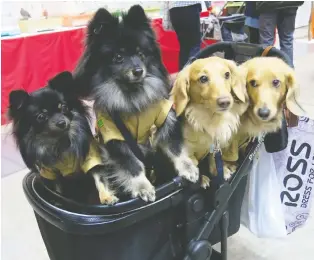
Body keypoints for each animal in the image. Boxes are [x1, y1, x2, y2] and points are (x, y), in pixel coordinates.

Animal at [8, 71, 119, 205]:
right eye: (41, 117)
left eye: (64, 107)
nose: (61, 122)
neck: (60, 141)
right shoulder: (50, 172)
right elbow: (57, 190)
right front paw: (58, 200)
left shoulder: (91, 158)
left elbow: (99, 177)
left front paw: (107, 197)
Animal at [74, 5, 197, 201]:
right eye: (118, 57)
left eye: (141, 54)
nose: (138, 70)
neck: (133, 98)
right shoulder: (114, 136)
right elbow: (132, 165)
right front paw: (142, 186)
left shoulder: (165, 120)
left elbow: (176, 148)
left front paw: (188, 168)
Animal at [172, 56, 248, 185]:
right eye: (203, 78)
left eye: (227, 74)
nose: (225, 102)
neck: (210, 119)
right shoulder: (188, 153)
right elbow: (194, 166)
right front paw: (201, 179)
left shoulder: (214, 148)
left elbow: (212, 159)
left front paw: (220, 172)